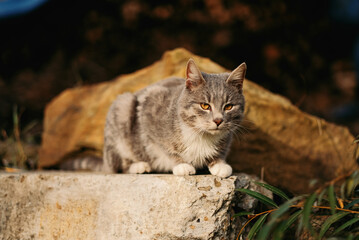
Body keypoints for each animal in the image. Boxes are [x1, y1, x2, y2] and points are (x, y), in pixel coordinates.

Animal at [101, 59, 248, 177]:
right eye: (205, 105)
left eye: (228, 106)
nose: (218, 120)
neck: (200, 135)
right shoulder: (150, 108)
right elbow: (165, 147)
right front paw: (181, 165)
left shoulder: (228, 136)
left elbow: (222, 150)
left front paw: (220, 164)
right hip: (123, 107)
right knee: (120, 164)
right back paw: (139, 166)